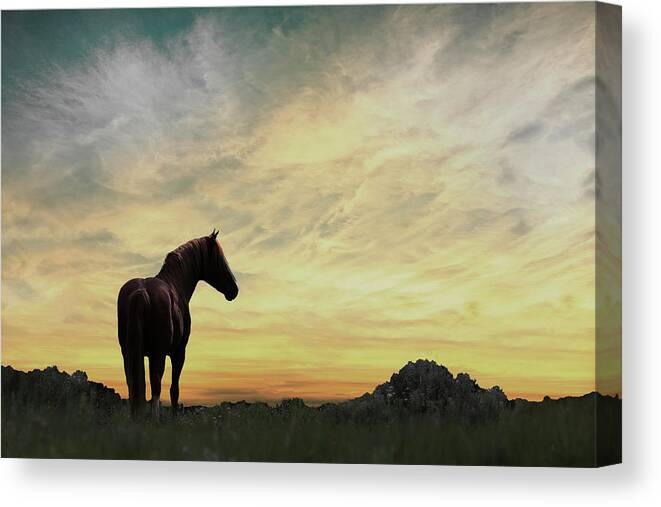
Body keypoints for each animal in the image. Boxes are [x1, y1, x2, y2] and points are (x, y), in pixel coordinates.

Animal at [117, 231, 238, 420]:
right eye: (219, 258)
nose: (234, 289)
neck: (175, 285)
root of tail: (141, 292)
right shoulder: (178, 353)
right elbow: (174, 389)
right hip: (158, 353)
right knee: (156, 384)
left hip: (127, 352)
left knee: (132, 383)